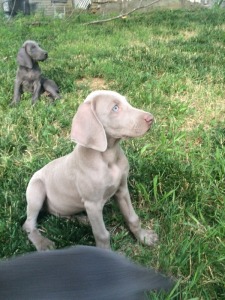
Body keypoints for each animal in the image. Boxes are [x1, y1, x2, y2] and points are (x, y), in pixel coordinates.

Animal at [22, 89, 157, 251]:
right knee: (28, 224)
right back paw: (43, 243)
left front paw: (144, 238)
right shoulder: (93, 204)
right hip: (36, 190)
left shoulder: (122, 189)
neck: (109, 157)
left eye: (127, 102)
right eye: (115, 108)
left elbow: (133, 218)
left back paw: (81, 219)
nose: (151, 118)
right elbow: (102, 234)